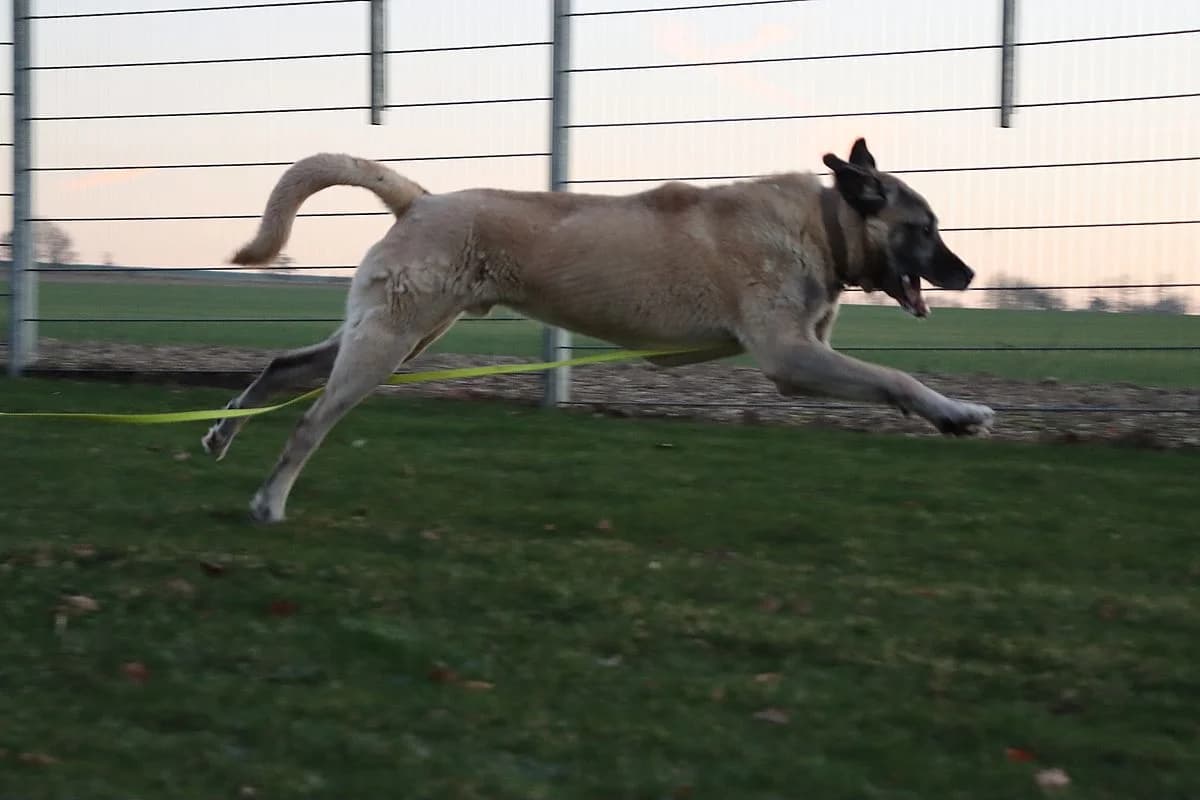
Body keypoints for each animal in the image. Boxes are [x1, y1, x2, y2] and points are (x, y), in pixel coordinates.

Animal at [203, 137, 994, 522]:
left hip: (396, 332)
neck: (824, 226)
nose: (968, 274)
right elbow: (894, 376)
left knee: (284, 366)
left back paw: (220, 432)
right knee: (308, 423)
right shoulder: (791, 357)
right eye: (924, 228)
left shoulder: (809, 349)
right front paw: (956, 413)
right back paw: (268, 502)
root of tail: (419, 200)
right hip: (390, 341)